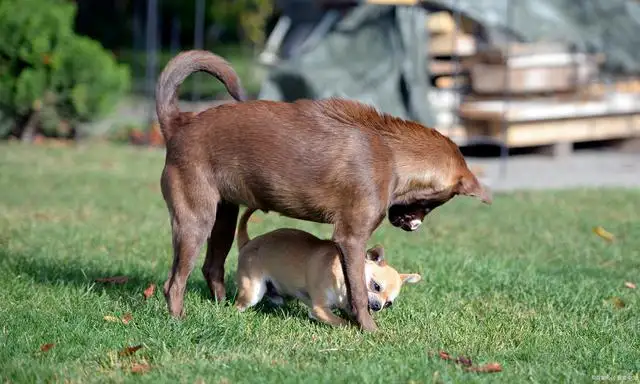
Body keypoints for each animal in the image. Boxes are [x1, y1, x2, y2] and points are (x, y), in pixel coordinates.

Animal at [234, 208, 420, 326]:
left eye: (389, 304)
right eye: (376, 286)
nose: (377, 307)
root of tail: (248, 243)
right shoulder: (319, 309)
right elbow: (342, 323)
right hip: (253, 291)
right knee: (239, 304)